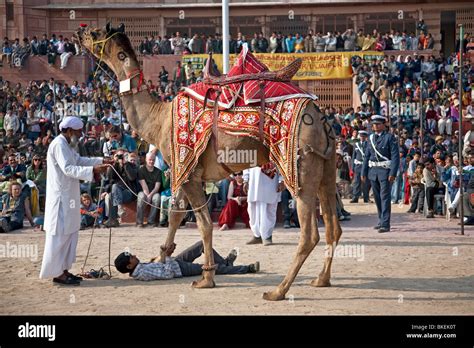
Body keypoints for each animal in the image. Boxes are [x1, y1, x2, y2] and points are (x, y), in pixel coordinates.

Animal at [76, 23, 342, 300]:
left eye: (95, 34)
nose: (78, 33)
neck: (158, 120)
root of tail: (320, 117)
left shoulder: (188, 170)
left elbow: (203, 224)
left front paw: (206, 279)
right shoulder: (182, 169)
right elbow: (175, 213)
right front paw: (161, 257)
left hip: (300, 164)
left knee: (309, 233)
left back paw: (278, 291)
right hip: (326, 167)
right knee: (333, 225)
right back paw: (321, 280)